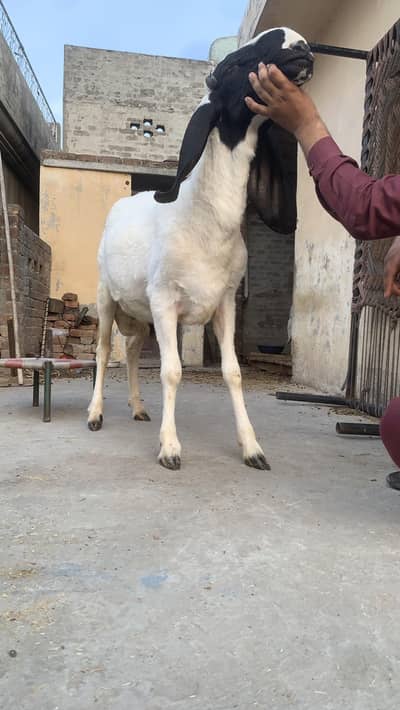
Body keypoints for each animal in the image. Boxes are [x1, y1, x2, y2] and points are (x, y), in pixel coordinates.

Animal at [88, 27, 314, 471]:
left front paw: (252, 448)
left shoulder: (224, 302)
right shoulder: (164, 300)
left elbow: (233, 371)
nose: (299, 46)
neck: (205, 219)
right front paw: (170, 448)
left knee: (133, 350)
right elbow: (172, 371)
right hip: (107, 296)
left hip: (139, 311)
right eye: (231, 65)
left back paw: (139, 408)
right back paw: (95, 414)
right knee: (105, 351)